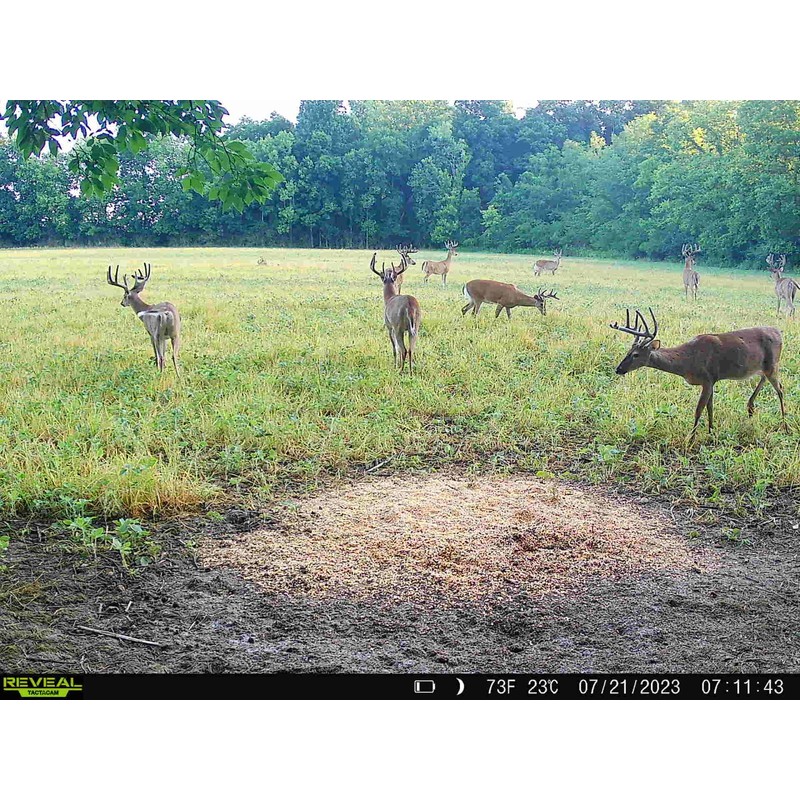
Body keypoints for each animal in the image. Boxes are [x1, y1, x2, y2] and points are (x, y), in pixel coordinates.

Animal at [610, 307, 787, 440]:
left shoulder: (707, 379)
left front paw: (691, 438)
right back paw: (751, 408)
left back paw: (785, 424)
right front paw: (711, 431)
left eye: (636, 355)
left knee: (780, 389)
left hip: (773, 364)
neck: (687, 361)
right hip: (764, 366)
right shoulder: (712, 380)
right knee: (765, 380)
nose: (618, 369)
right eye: (628, 351)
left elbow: (699, 410)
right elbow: (710, 407)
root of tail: (779, 332)